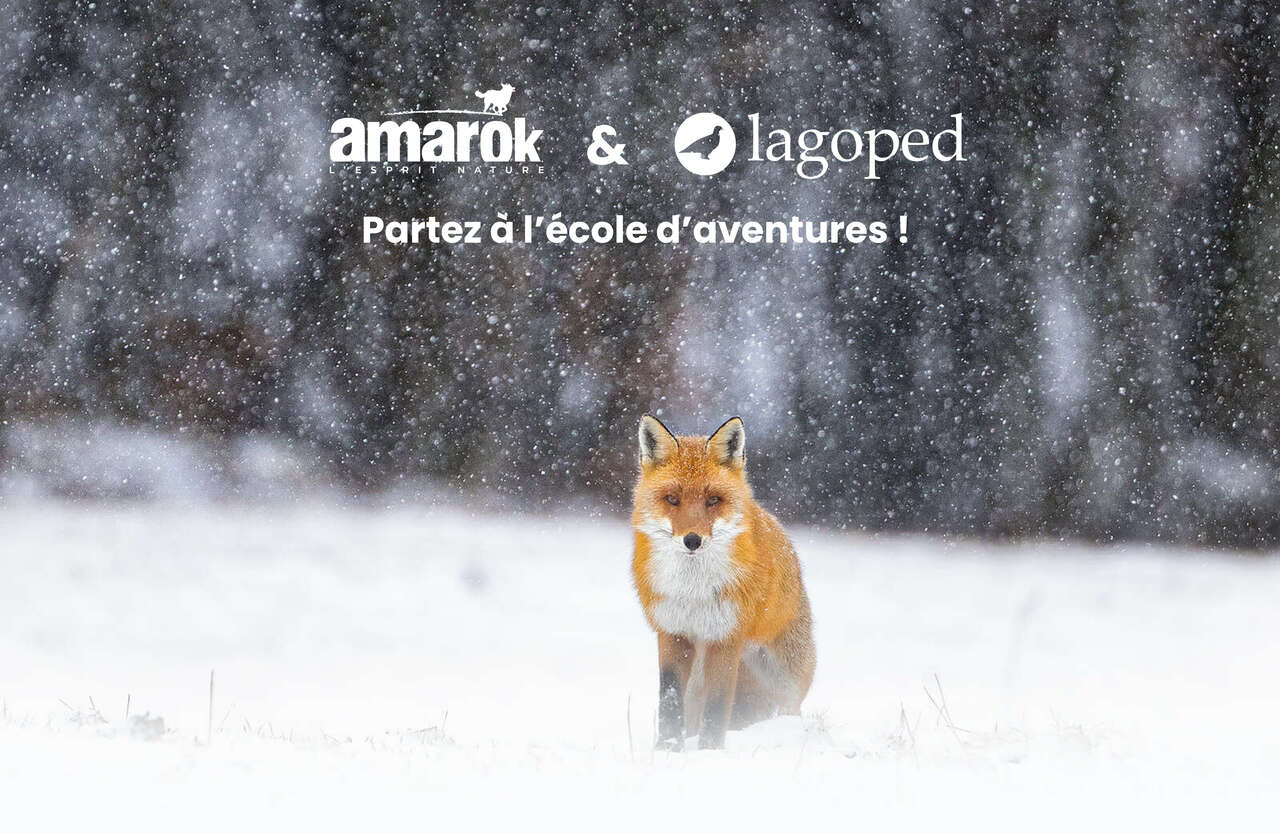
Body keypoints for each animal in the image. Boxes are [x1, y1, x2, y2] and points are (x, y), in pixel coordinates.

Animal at [631, 415, 816, 750]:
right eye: (672, 499)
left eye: (713, 500)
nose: (692, 540)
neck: (693, 591)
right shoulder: (672, 632)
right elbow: (670, 702)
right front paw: (667, 750)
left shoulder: (725, 636)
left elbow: (716, 709)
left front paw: (709, 752)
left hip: (783, 685)